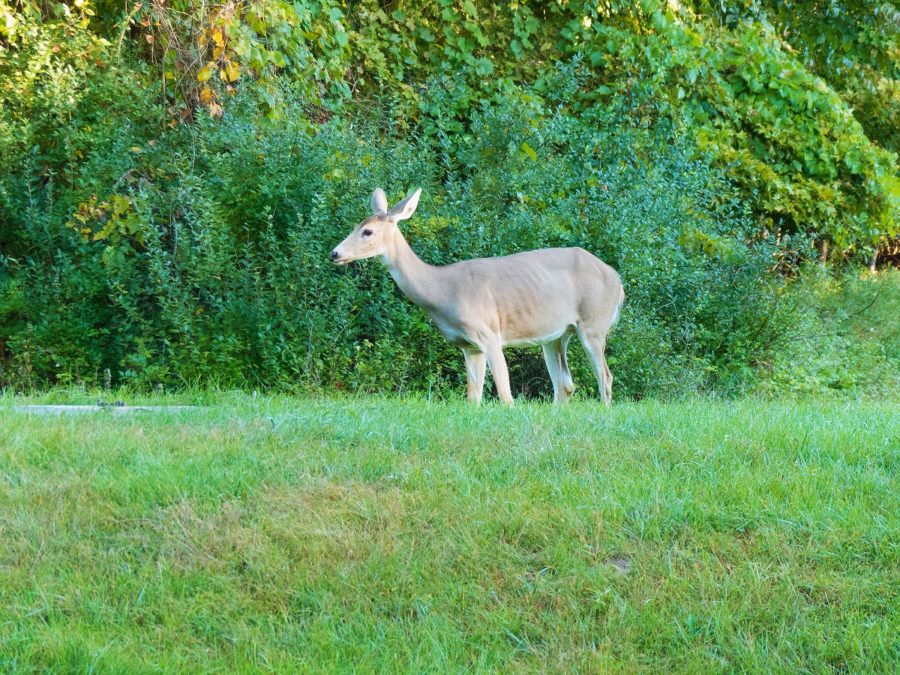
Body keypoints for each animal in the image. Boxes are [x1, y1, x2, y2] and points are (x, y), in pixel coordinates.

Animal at [332, 187, 624, 406]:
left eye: (367, 231)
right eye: (356, 226)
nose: (334, 253)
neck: (441, 291)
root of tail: (618, 282)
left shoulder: (489, 333)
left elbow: (506, 396)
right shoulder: (468, 345)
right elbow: (473, 398)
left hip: (594, 323)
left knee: (605, 377)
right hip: (556, 335)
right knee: (565, 384)